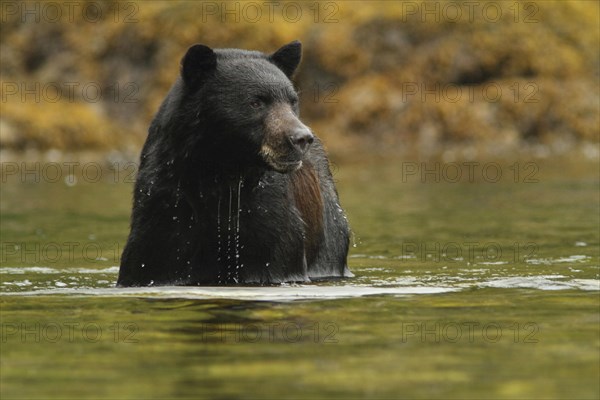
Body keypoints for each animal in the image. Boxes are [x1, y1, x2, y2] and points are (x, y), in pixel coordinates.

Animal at [117, 40, 352, 286]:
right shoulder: (161, 209)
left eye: (292, 101)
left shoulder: (268, 217)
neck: (220, 171)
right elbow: (149, 260)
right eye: (256, 102)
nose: (302, 138)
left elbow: (276, 254)